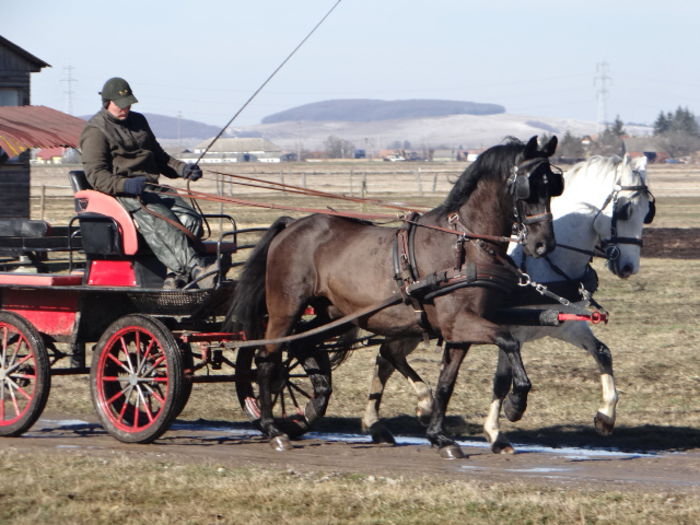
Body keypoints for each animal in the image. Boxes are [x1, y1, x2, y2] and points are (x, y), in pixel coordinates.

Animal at [227, 136, 560, 458]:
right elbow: (508, 340)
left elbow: (446, 383)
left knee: (303, 344)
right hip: (285, 308)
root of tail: (291, 227)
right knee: (267, 358)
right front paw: (516, 403)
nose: (544, 244)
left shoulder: (459, 331)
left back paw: (314, 398)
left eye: (553, 186)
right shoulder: (460, 323)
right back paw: (273, 429)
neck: (465, 243)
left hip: (332, 314)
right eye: (529, 187)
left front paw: (440, 436)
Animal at [364, 152, 652, 450]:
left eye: (647, 212)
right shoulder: (510, 328)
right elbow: (502, 380)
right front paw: (500, 425)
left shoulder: (564, 324)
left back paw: (390, 418)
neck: (546, 264)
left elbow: (602, 352)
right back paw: (398, 414)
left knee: (387, 356)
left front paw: (606, 415)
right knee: (387, 356)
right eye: (625, 209)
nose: (629, 266)